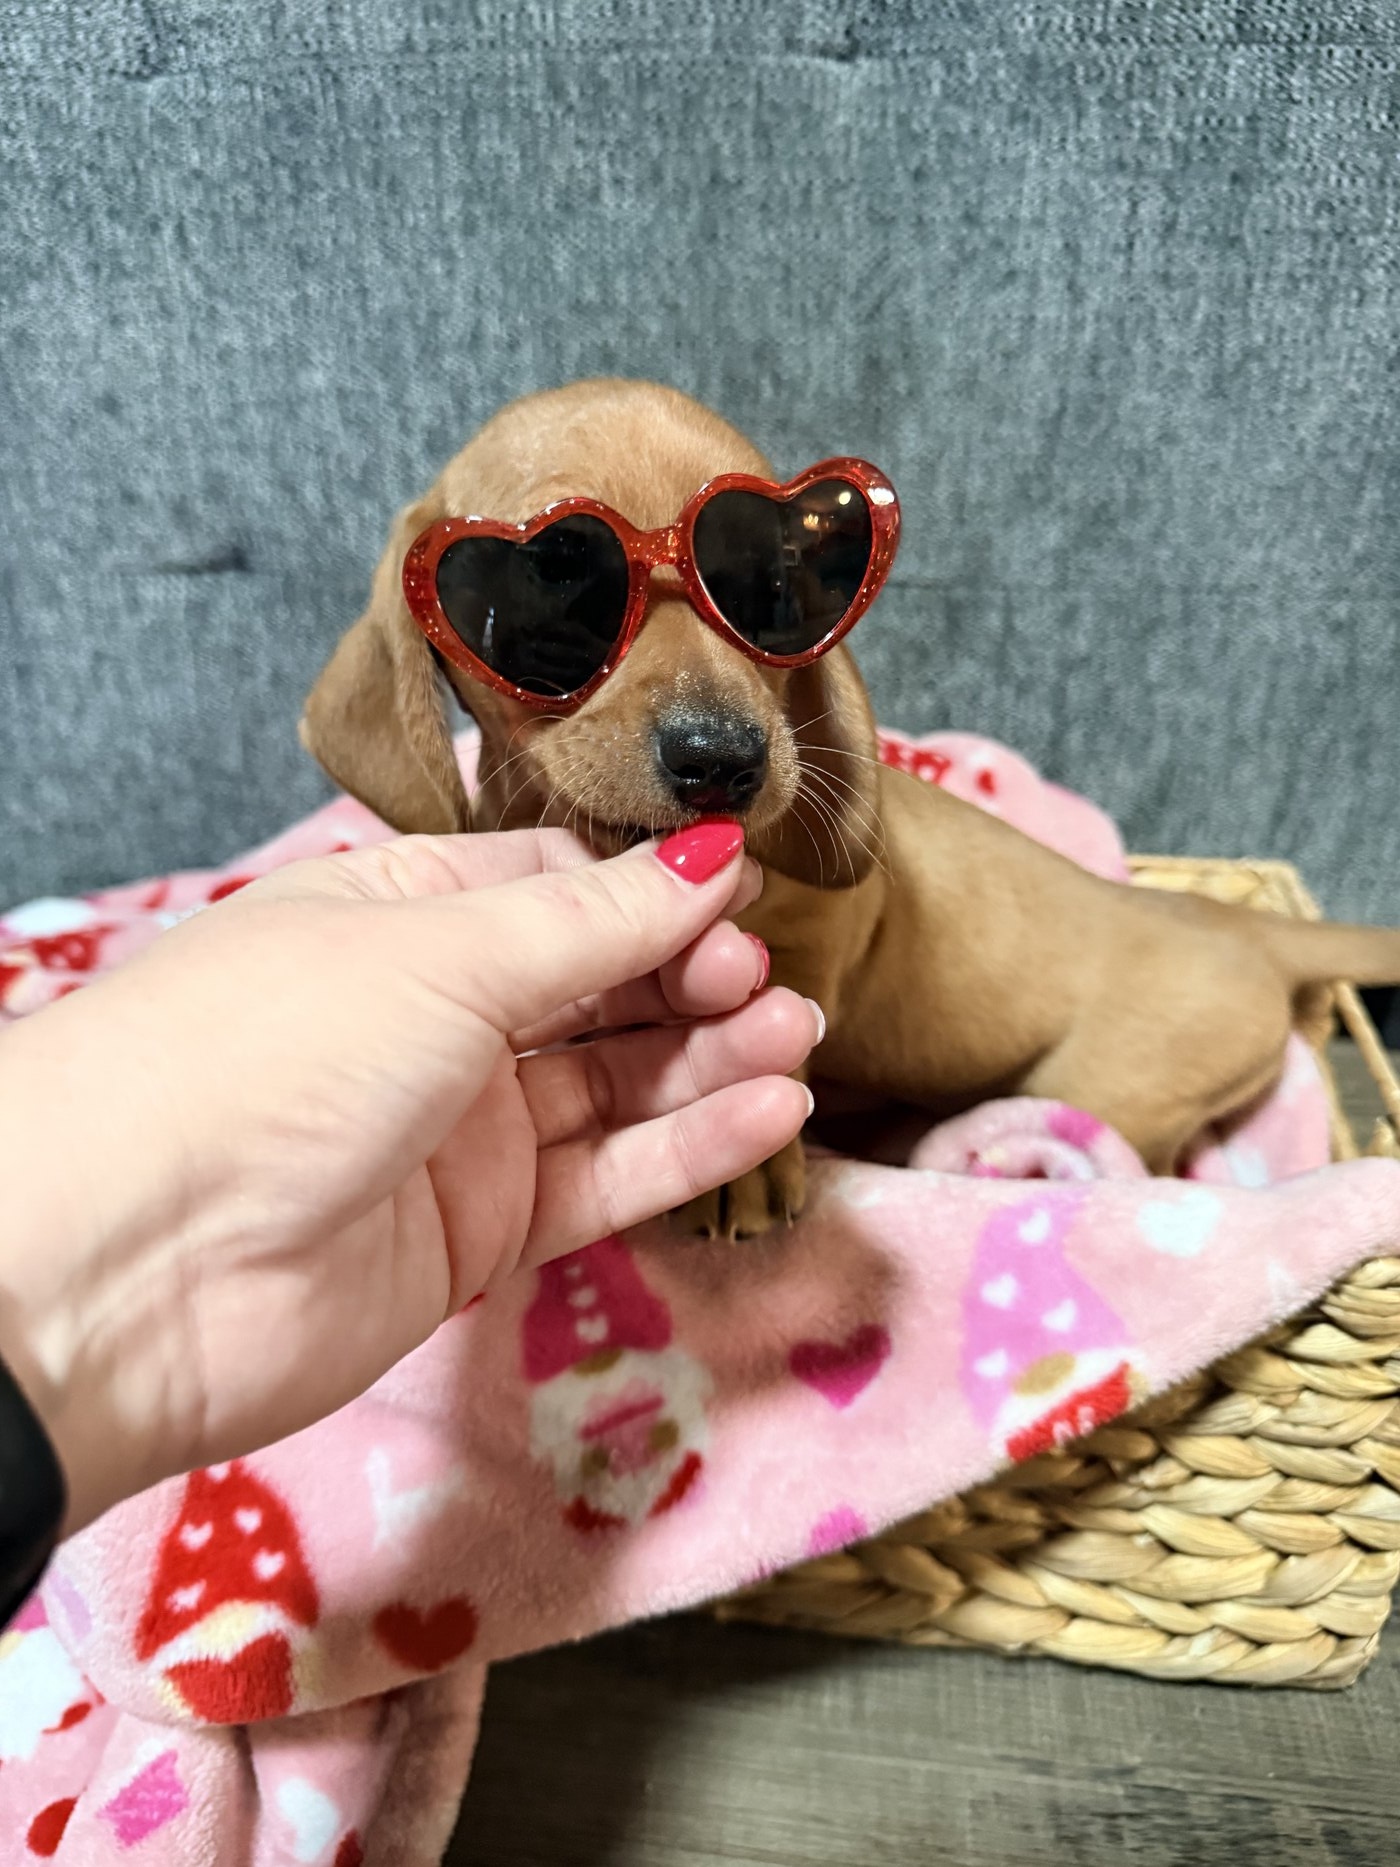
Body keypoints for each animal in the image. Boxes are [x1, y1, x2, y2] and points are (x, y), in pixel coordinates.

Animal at [302, 378, 1400, 1236]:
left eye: (777, 583)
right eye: (549, 588)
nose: (723, 761)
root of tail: (1236, 924)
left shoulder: (816, 937)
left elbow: (760, 1020)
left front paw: (745, 1155)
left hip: (1106, 1086)